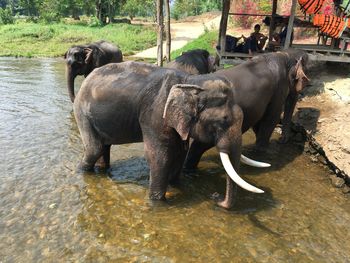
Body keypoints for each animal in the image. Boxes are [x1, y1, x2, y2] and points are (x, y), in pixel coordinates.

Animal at [74, 60, 270, 209]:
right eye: (223, 121)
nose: (216, 197)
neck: (190, 82)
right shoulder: (155, 114)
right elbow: (160, 155)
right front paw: (157, 202)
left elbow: (179, 152)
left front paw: (176, 184)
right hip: (82, 112)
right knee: (94, 148)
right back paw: (82, 172)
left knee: (103, 147)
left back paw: (103, 171)